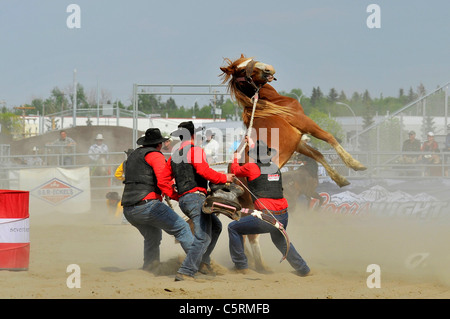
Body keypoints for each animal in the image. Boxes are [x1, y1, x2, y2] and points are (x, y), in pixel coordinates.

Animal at [221, 54, 366, 272]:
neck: (270, 103)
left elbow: (318, 155)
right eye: (241, 71)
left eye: (249, 60)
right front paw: (355, 164)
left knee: (247, 234)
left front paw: (340, 178)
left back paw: (254, 263)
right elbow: (329, 138)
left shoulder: (298, 142)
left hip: (247, 206)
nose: (268, 69)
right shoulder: (305, 123)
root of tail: (232, 178)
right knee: (253, 235)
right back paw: (262, 265)